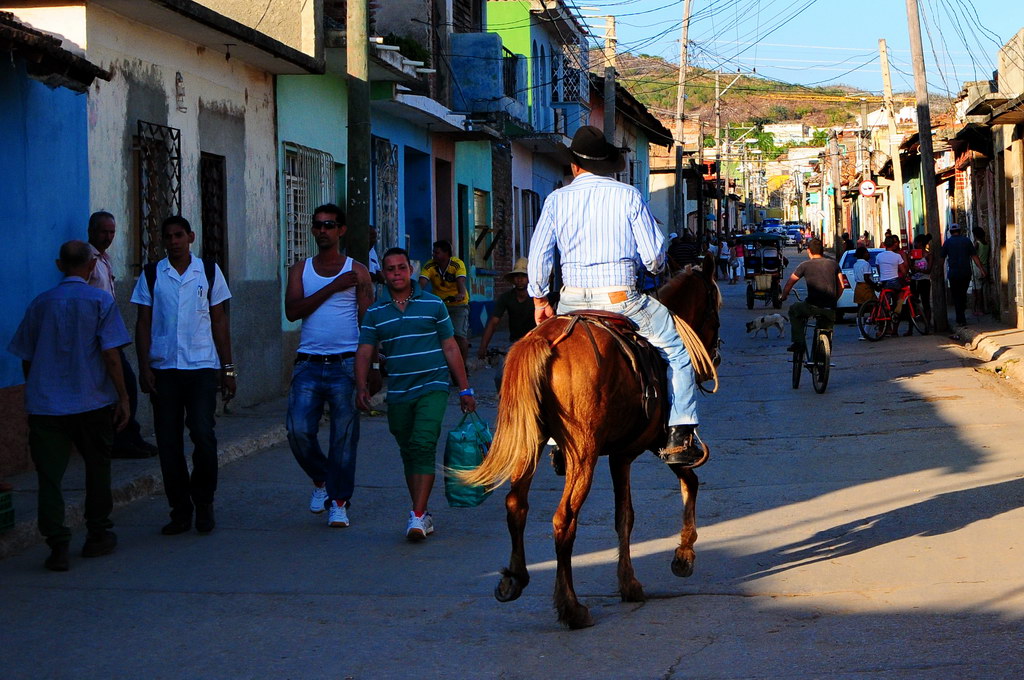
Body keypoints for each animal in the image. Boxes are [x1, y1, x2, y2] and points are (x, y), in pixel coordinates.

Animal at [458, 260, 720, 626]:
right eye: (714, 310)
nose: (715, 357)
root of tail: (544, 339)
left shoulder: (621, 455)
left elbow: (624, 515)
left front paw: (629, 581)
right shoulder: (656, 444)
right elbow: (687, 483)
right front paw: (682, 556)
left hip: (530, 443)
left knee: (516, 505)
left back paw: (514, 580)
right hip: (583, 454)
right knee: (564, 519)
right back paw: (571, 607)